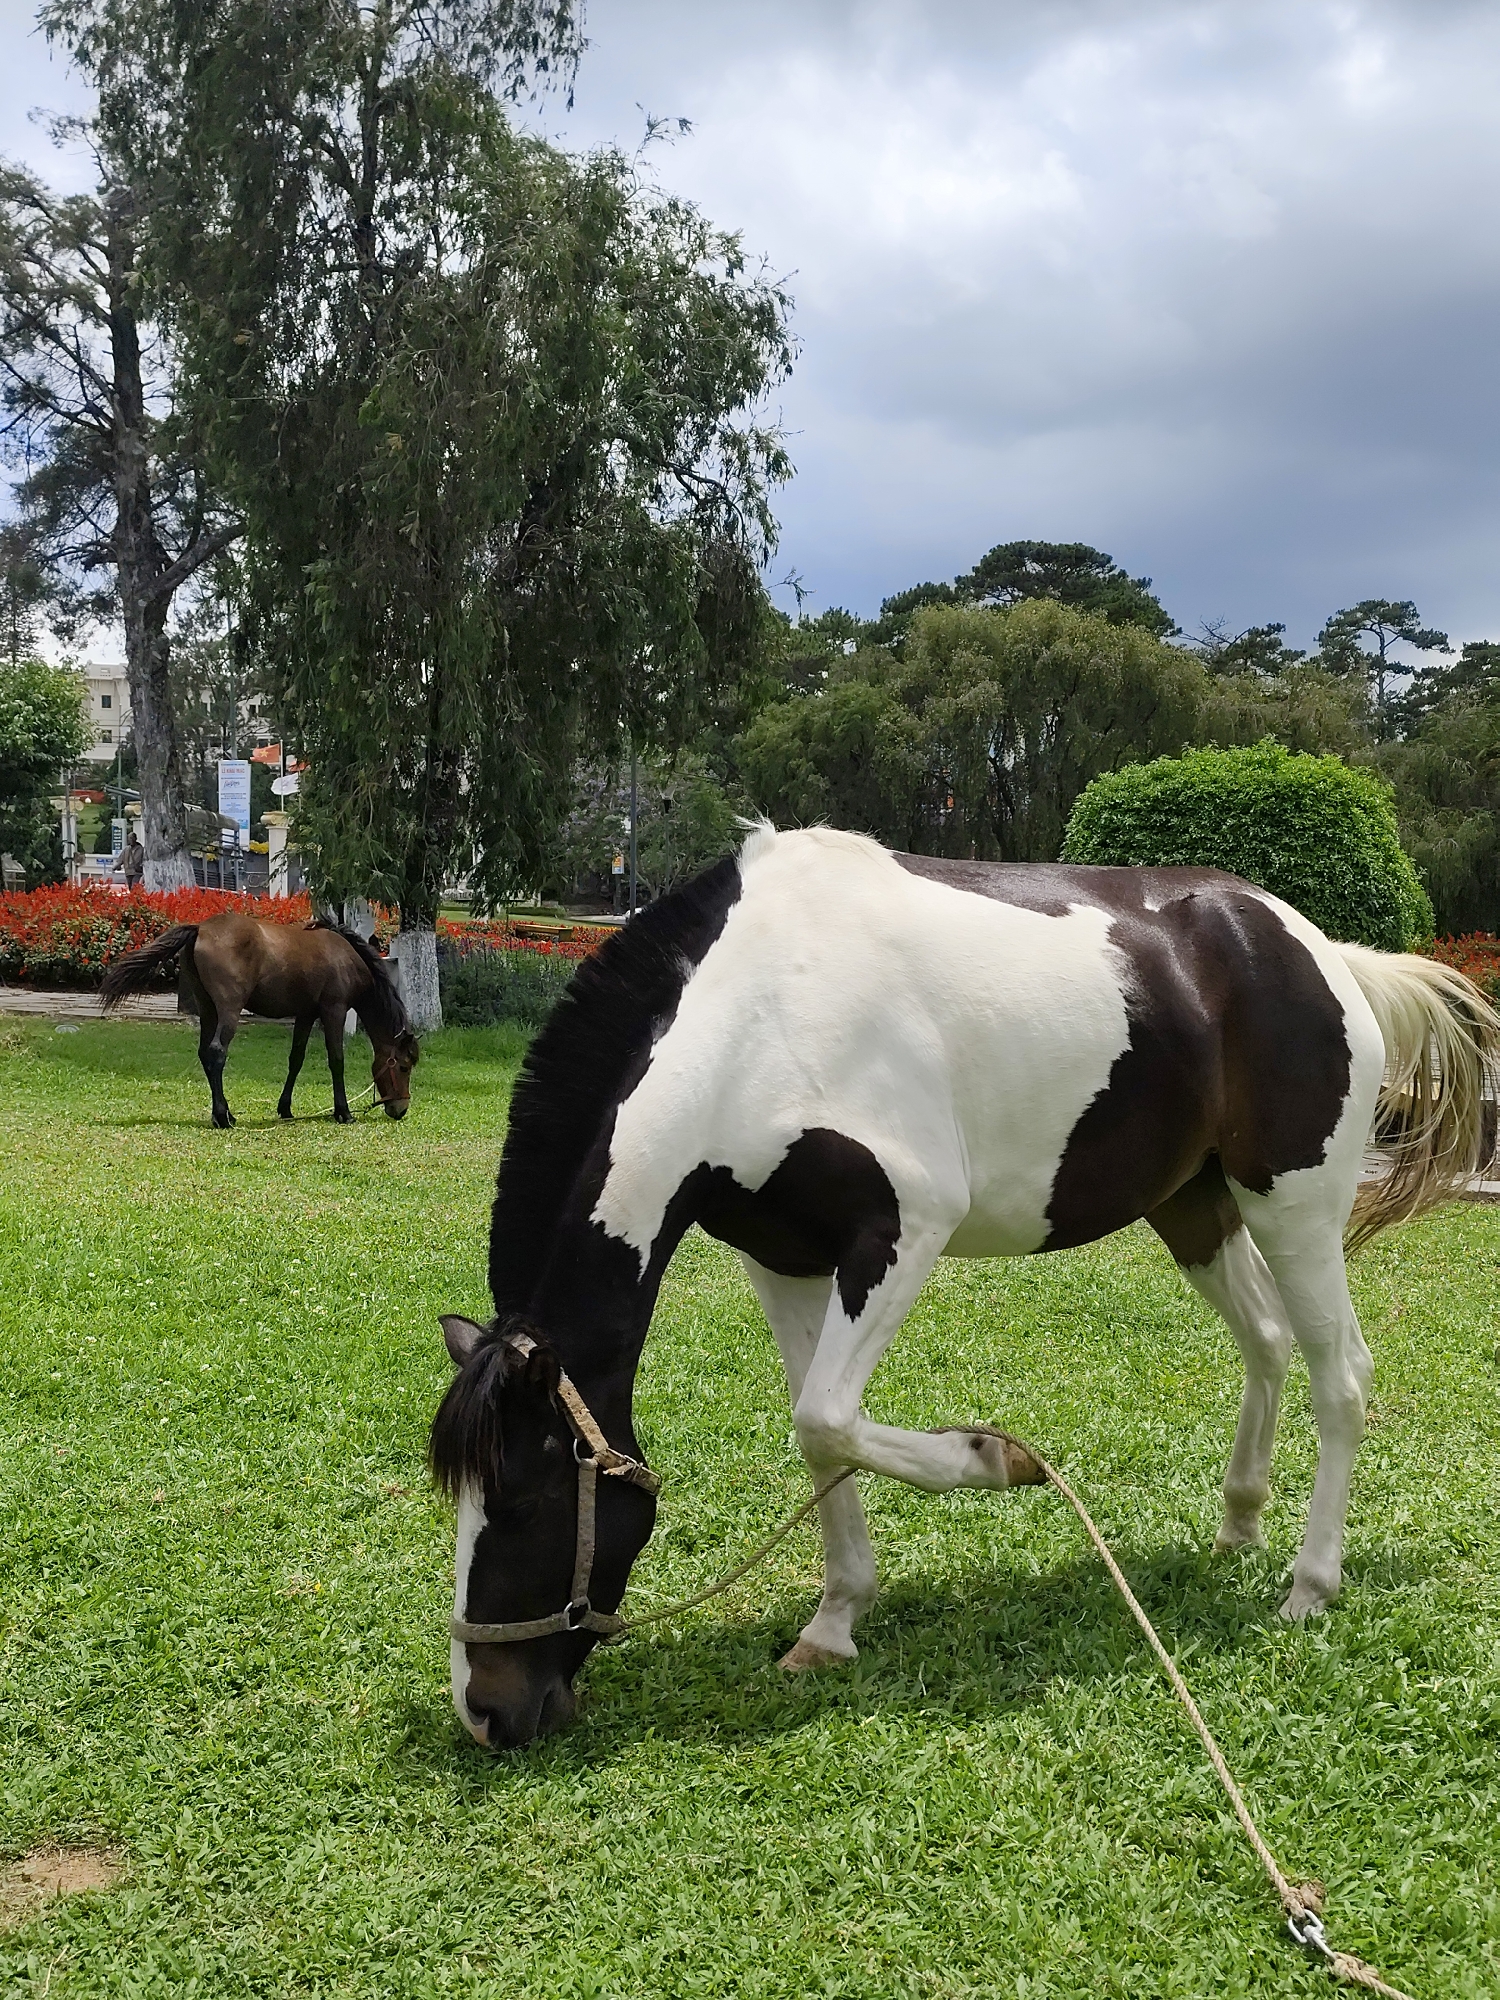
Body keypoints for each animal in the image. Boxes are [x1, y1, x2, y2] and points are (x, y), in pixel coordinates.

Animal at [100, 916, 420, 1127]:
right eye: (403, 1066)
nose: (401, 1109)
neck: (347, 957)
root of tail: (201, 928)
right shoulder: (334, 1011)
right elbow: (336, 1060)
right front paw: (343, 1112)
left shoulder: (306, 1014)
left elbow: (296, 1059)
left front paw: (285, 1108)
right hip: (229, 1010)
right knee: (216, 1052)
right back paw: (222, 1117)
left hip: (208, 1009)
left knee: (204, 1053)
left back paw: (225, 1113)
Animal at [428, 825, 1498, 1749]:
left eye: (522, 1501)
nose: (486, 1712)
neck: (758, 1011)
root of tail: (1328, 956)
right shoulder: (784, 1259)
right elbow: (816, 1436)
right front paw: (832, 1624)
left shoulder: (904, 1230)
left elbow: (827, 1420)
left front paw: (998, 1458)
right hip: (1195, 1208)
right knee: (1268, 1342)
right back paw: (1239, 1525)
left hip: (1294, 1205)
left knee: (1341, 1375)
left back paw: (1310, 1584)